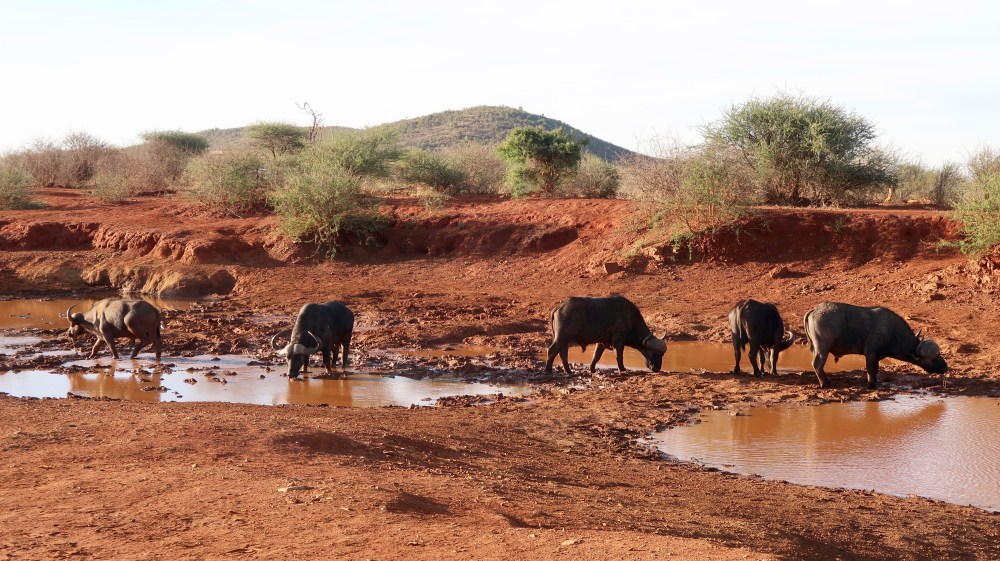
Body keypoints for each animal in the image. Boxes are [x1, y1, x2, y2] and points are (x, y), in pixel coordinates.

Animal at [803, 301, 947, 389]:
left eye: (939, 354)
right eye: (933, 357)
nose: (946, 367)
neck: (892, 332)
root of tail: (814, 310)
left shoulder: (877, 357)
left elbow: (876, 370)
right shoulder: (871, 354)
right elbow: (871, 370)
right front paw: (871, 385)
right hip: (822, 348)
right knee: (817, 364)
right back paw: (825, 384)